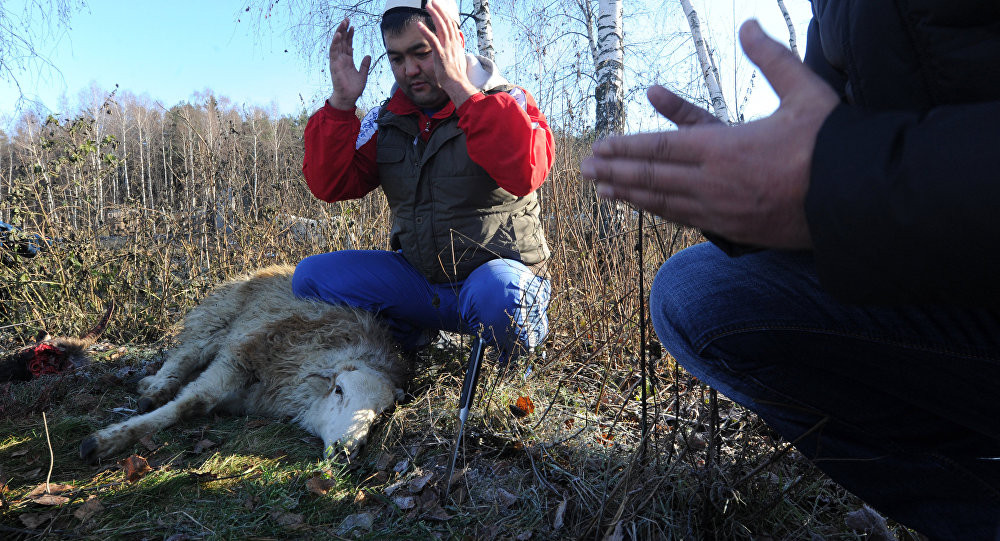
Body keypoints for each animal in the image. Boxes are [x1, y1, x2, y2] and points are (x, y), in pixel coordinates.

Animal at [78, 264, 406, 462]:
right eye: (339, 390)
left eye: (381, 414)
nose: (347, 452)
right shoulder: (241, 355)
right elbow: (191, 402)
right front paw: (108, 440)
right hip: (216, 319)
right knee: (185, 354)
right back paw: (156, 388)